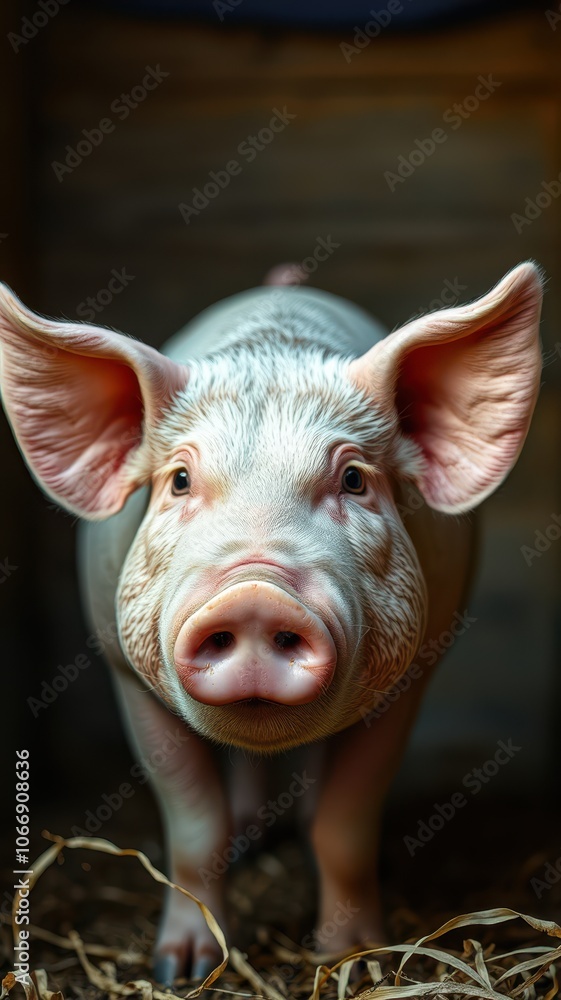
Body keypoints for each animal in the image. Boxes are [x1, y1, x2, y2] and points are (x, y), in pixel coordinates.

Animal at [0, 262, 543, 984]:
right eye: (179, 480)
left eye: (353, 479)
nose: (256, 594)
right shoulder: (126, 674)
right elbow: (194, 824)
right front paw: (181, 970)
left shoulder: (412, 676)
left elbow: (343, 826)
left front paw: (348, 955)